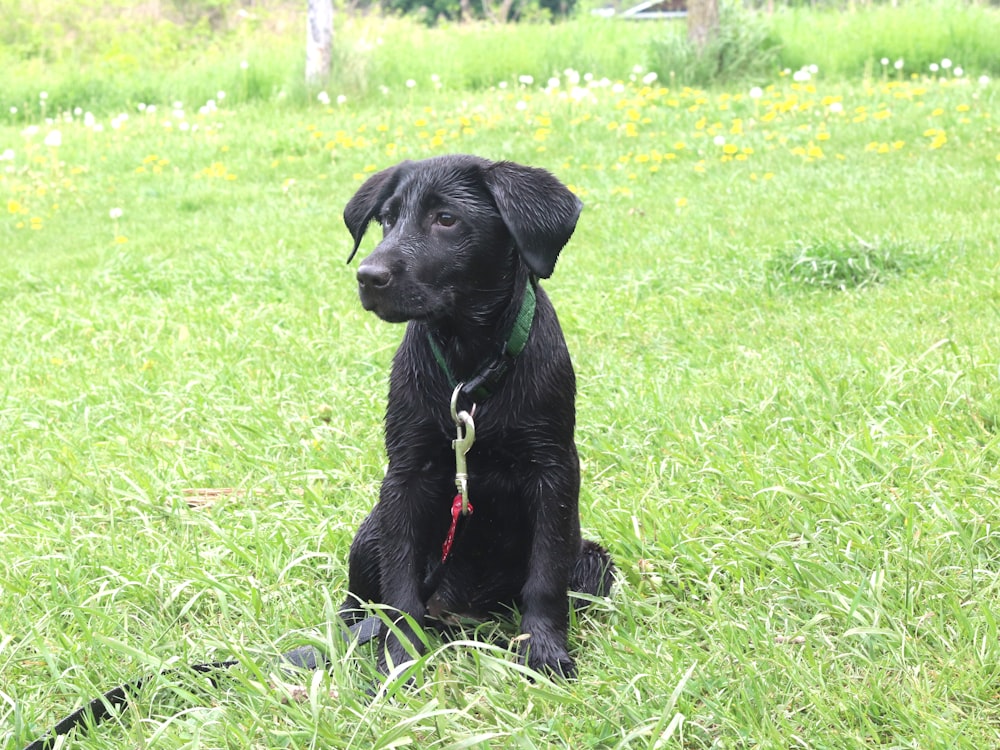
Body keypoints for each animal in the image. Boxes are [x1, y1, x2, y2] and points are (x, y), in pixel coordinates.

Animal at [340, 154, 612, 680]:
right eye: (387, 220)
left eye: (446, 219)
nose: (368, 275)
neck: (469, 370)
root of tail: (456, 607)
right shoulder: (404, 476)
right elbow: (400, 588)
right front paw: (400, 657)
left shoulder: (554, 471)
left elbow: (545, 578)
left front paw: (543, 651)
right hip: (372, 528)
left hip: (592, 559)